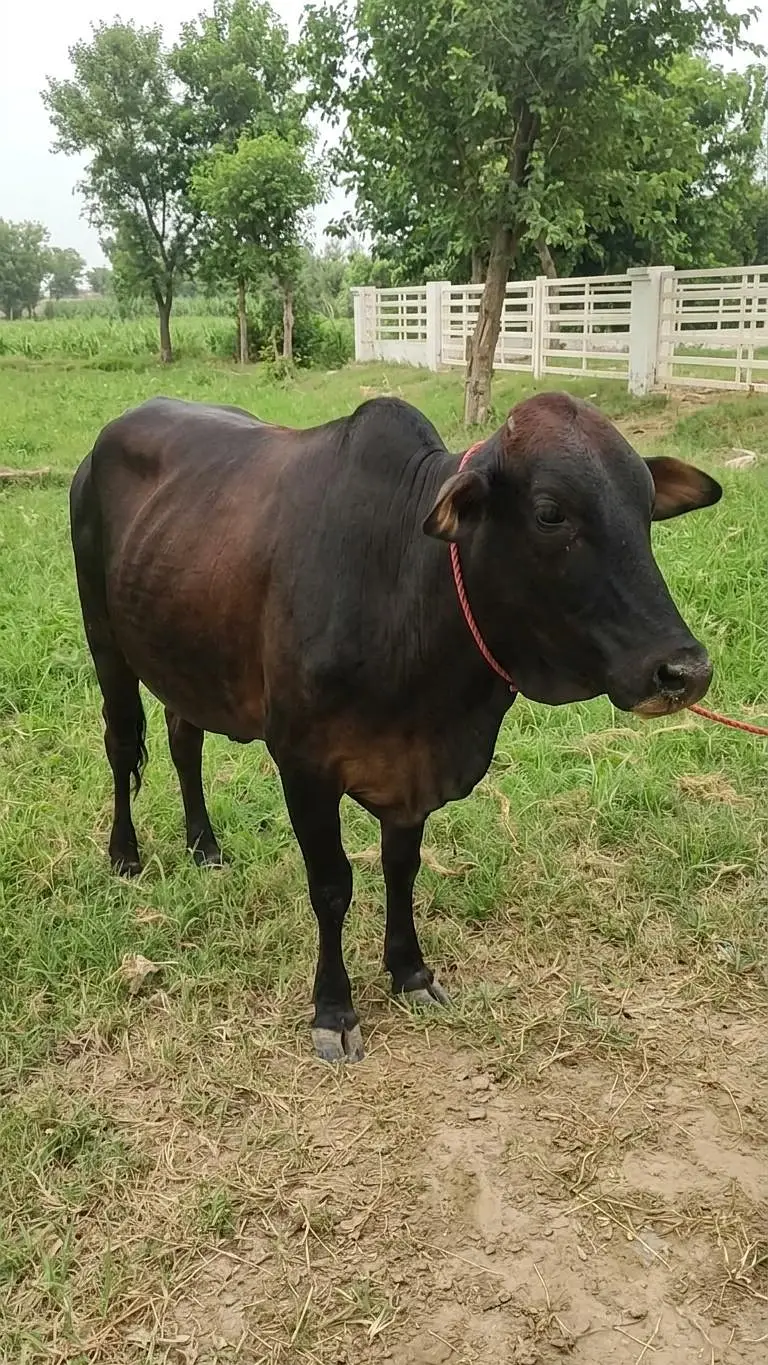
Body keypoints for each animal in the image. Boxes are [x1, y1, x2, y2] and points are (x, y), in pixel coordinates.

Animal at [70, 392, 721, 1062]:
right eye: (549, 513)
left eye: (646, 508)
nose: (683, 671)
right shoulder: (303, 763)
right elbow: (331, 885)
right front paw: (333, 1009)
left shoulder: (413, 771)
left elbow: (401, 867)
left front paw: (410, 972)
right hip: (105, 639)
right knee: (121, 743)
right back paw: (125, 855)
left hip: (184, 657)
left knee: (184, 739)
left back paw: (204, 846)